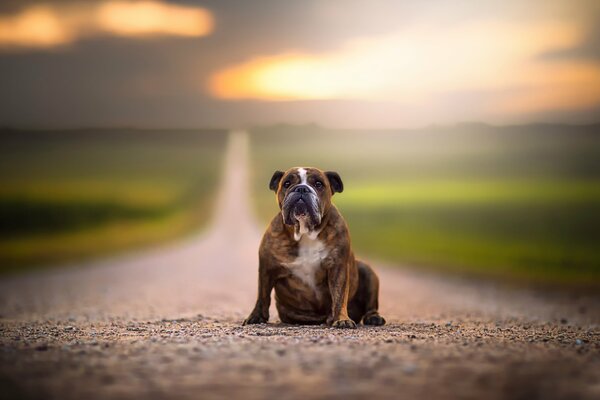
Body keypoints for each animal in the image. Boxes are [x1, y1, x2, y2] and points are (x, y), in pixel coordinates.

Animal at [243, 166, 384, 328]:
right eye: (287, 183)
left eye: (318, 184)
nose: (301, 189)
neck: (305, 233)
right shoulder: (267, 268)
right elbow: (262, 295)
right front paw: (256, 316)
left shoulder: (338, 268)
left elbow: (339, 296)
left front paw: (342, 319)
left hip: (367, 271)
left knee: (371, 305)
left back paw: (373, 318)